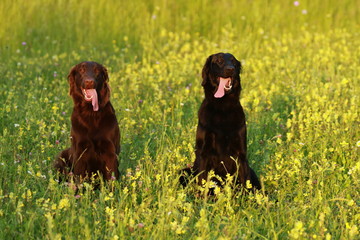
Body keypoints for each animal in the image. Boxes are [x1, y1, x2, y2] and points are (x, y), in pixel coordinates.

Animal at [181, 53, 260, 192]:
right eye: (218, 60)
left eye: (233, 61)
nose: (230, 69)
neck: (223, 107)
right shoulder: (203, 153)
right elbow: (202, 181)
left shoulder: (241, 154)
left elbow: (245, 181)